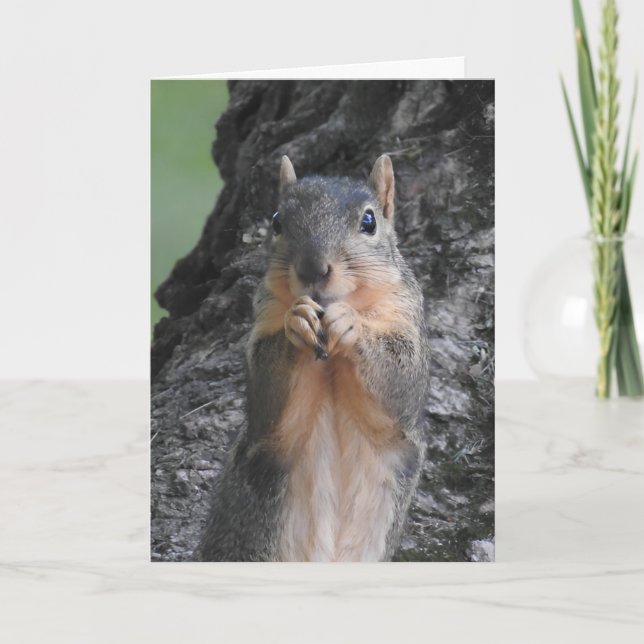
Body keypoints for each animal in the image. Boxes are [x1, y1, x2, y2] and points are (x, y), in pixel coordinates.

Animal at [197, 154, 429, 562]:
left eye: (369, 222)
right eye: (276, 220)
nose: (312, 270)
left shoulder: (406, 318)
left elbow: (403, 384)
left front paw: (351, 323)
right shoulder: (265, 318)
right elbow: (265, 391)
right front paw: (297, 320)